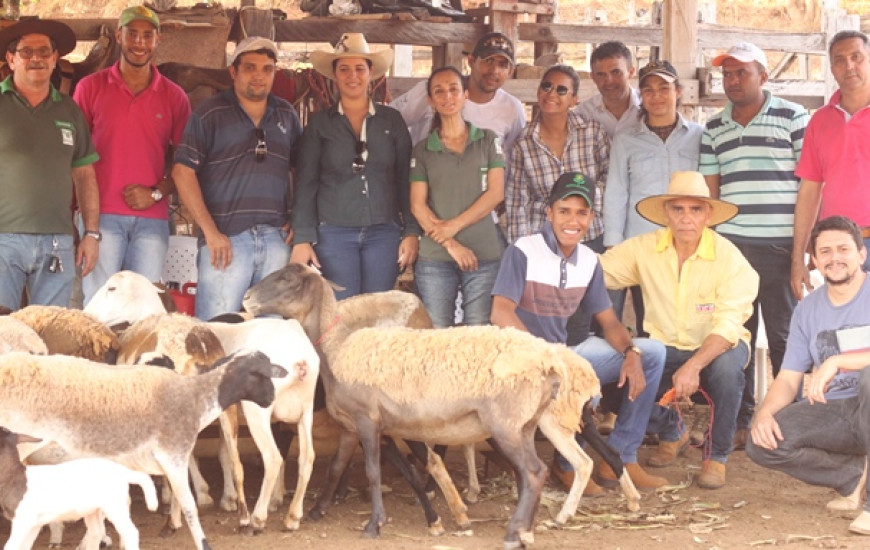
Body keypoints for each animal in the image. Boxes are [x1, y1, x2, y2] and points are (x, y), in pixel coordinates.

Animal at [0, 430, 158, 550]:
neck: (15, 476)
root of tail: (123, 471)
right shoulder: (33, 524)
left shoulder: (23, 519)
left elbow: (11, 546)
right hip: (94, 510)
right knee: (97, 532)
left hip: (114, 505)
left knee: (130, 532)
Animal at [242, 266, 644, 548]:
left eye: (286, 279)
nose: (246, 299)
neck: (338, 347)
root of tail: (551, 361)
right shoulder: (354, 425)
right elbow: (338, 467)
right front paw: (313, 512)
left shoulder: (368, 420)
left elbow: (372, 471)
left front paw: (373, 524)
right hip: (528, 424)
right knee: (541, 470)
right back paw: (528, 529)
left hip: (507, 425)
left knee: (534, 471)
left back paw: (517, 532)